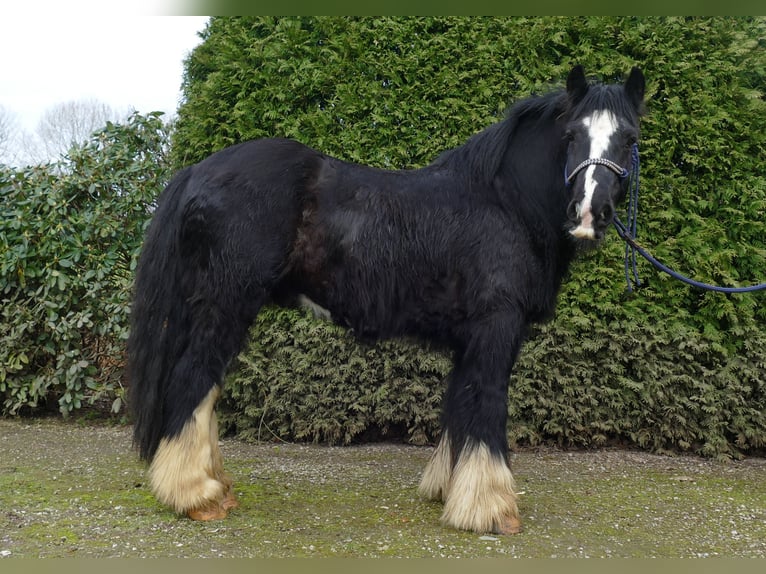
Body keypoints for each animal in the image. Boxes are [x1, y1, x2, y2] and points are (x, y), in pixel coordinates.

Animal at [129, 66, 644, 536]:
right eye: (572, 134)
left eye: (629, 139)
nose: (590, 213)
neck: (504, 202)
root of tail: (197, 171)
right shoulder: (496, 326)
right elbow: (487, 408)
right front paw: (491, 509)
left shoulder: (468, 339)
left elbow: (460, 407)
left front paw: (449, 491)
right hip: (225, 305)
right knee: (193, 381)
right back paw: (195, 495)